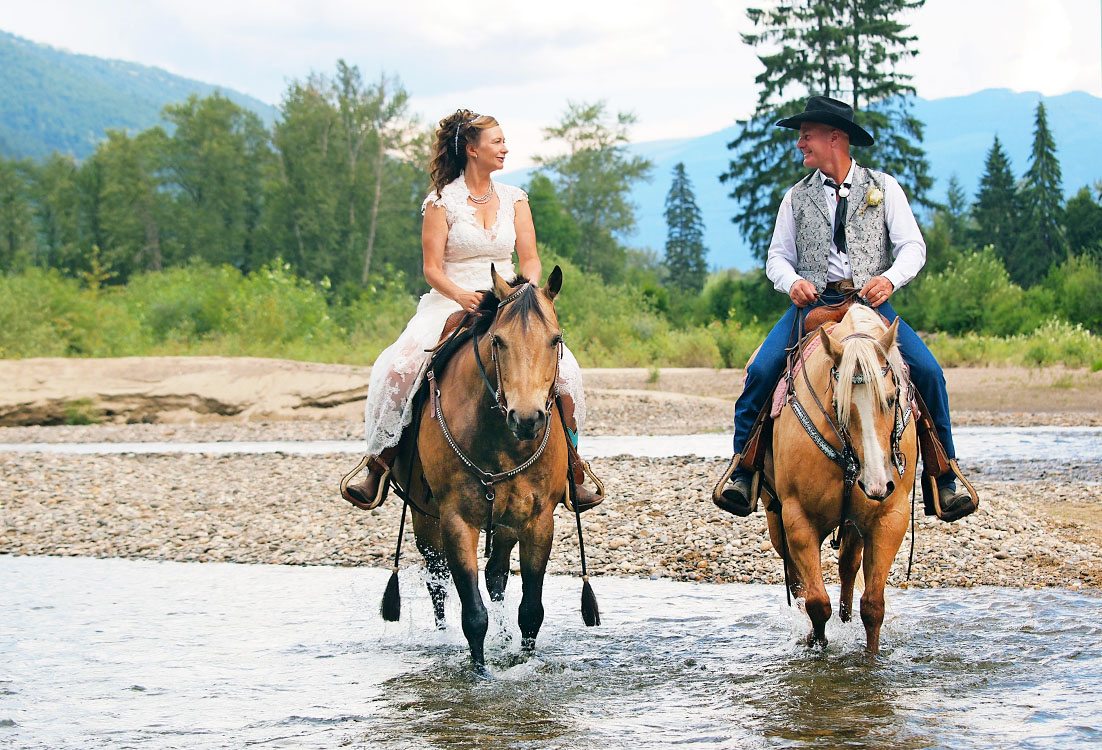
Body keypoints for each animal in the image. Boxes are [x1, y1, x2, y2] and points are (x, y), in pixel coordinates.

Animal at [383, 266, 599, 669]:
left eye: (556, 339)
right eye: (498, 341)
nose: (527, 419)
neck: (500, 439)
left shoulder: (536, 519)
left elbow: (530, 610)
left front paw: (525, 661)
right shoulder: (456, 519)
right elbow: (473, 614)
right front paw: (480, 672)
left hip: (504, 522)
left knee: (496, 576)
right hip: (425, 517)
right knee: (437, 580)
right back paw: (443, 639)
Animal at [762, 301, 916, 651]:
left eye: (891, 398)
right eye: (838, 404)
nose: (877, 483)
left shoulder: (891, 516)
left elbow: (873, 606)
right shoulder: (798, 517)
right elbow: (817, 603)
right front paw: (814, 643)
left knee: (848, 565)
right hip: (774, 515)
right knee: (798, 579)